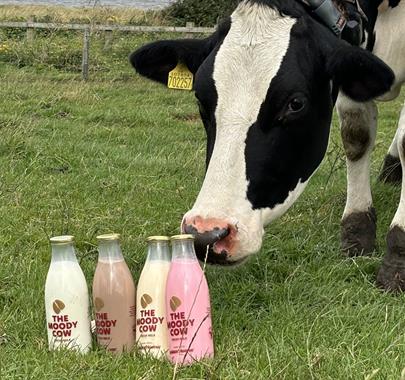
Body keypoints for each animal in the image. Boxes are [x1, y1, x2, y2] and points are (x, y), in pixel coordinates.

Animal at [130, 0, 404, 290]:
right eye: (201, 99)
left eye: (295, 104)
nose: (206, 234)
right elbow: (356, 134)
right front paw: (357, 232)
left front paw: (397, 257)